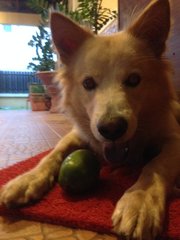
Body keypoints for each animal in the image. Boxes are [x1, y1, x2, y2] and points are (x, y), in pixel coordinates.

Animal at [0, 0, 180, 239]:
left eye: (134, 79)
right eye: (88, 83)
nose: (111, 129)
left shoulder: (174, 139)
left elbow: (156, 165)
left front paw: (140, 200)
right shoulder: (78, 133)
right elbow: (51, 155)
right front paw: (26, 179)